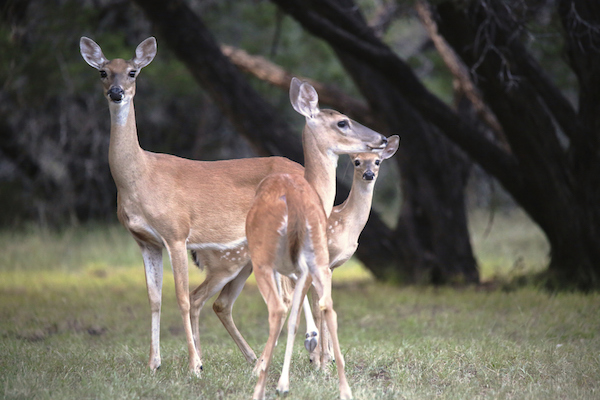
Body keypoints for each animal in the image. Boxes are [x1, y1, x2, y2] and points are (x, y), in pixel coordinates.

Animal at [79, 36, 304, 376]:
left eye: (132, 72)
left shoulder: (176, 233)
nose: (116, 92)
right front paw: (154, 363)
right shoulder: (145, 241)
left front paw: (194, 365)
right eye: (103, 72)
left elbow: (182, 298)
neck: (140, 177)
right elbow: (154, 298)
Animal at [246, 77, 386, 400]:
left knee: (279, 309)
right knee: (322, 307)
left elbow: (294, 312)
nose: (383, 138)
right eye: (342, 122)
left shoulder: (295, 268)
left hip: (264, 259)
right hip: (299, 257)